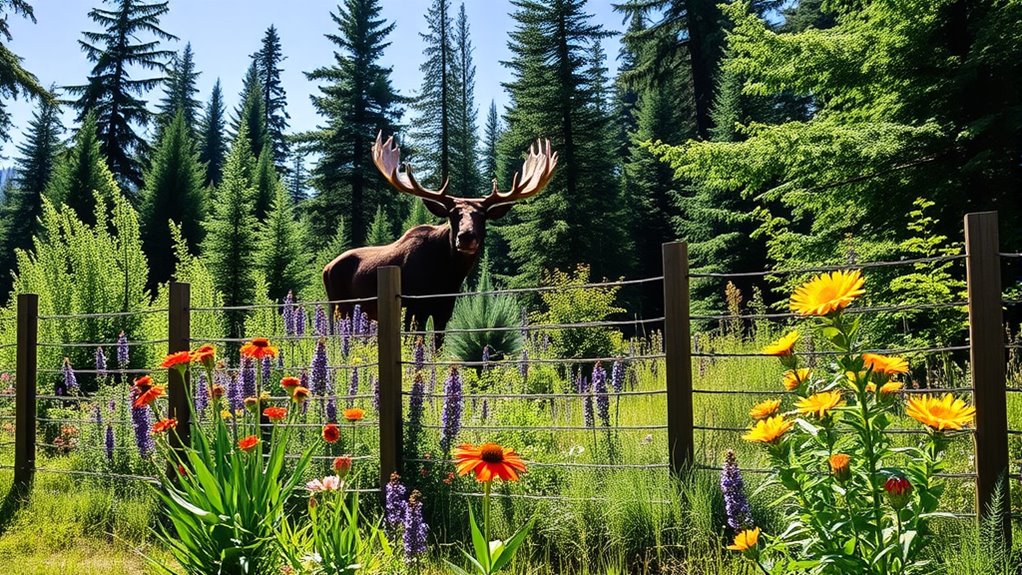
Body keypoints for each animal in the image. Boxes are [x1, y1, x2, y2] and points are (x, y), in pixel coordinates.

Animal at [322, 132, 558, 336]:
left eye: (482, 216)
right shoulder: (414, 305)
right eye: (452, 214)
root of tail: (326, 268)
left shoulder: (444, 308)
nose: (466, 236)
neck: (446, 276)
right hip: (338, 306)